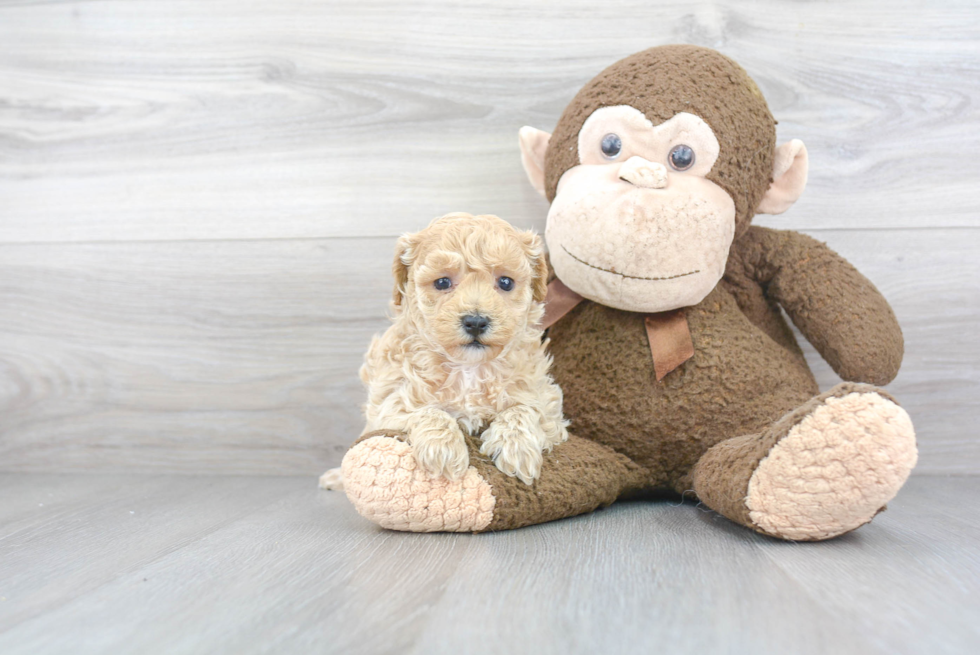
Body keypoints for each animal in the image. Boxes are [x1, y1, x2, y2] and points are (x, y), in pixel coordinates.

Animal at [318, 211, 572, 486]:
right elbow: (424, 410)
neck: (468, 368)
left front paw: (517, 447)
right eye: (442, 282)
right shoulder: (388, 401)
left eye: (505, 282)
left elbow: (524, 409)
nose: (475, 322)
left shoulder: (546, 402)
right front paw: (443, 449)